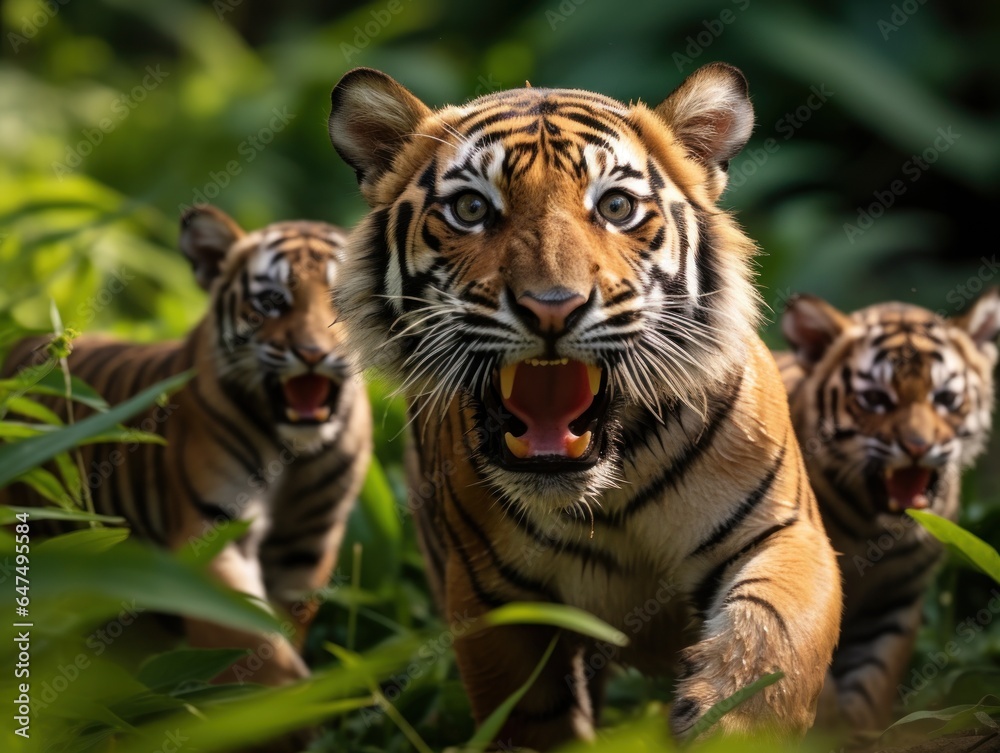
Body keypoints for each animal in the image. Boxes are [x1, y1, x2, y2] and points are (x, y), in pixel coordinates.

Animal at [1, 204, 373, 689]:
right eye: (272, 301)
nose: (313, 353)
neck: (296, 454)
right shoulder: (212, 532)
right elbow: (256, 648)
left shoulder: (304, 548)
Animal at [326, 62, 842, 749]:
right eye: (471, 209)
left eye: (616, 207)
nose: (552, 306)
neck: (608, 494)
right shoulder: (492, 597)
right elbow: (533, 720)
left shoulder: (783, 534)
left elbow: (769, 654)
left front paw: (728, 723)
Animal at [777, 290, 1000, 734]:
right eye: (875, 400)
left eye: (945, 399)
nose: (918, 446)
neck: (871, 532)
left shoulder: (895, 600)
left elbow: (873, 679)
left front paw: (861, 732)